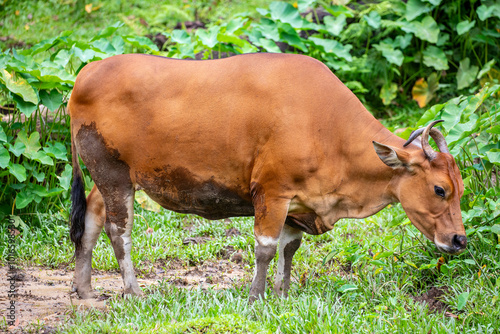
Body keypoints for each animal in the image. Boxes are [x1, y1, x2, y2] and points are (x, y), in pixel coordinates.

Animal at [68, 53, 466, 302]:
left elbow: (289, 248)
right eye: (439, 189)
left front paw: (282, 293)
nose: (459, 240)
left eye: (460, 189)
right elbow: (265, 247)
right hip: (114, 174)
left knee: (90, 219)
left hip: (108, 177)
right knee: (118, 231)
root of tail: (85, 74)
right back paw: (133, 292)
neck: (327, 127)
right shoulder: (272, 193)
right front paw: (256, 297)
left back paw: (85, 290)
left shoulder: (297, 203)